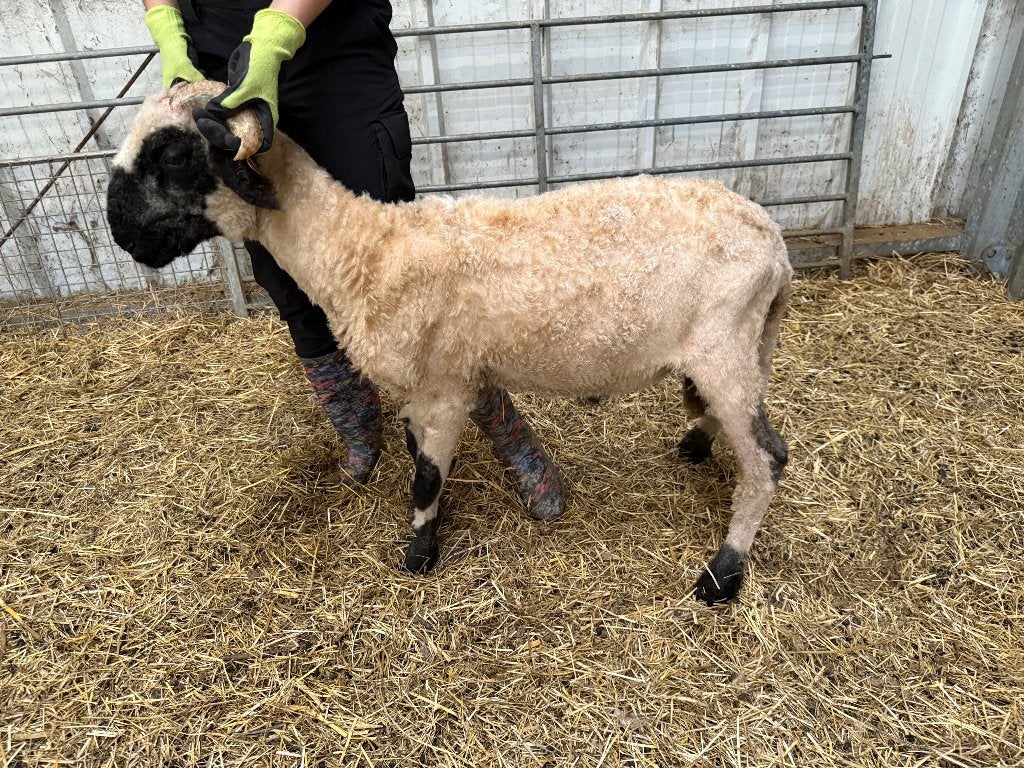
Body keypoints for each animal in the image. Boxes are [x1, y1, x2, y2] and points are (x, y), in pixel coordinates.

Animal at [107, 81, 792, 604]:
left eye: (172, 155)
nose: (119, 233)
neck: (362, 248)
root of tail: (774, 244)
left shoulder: (443, 386)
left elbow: (425, 477)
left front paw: (419, 553)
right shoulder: (421, 386)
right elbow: (419, 459)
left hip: (724, 345)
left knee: (768, 459)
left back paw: (722, 574)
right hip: (740, 347)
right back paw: (696, 443)